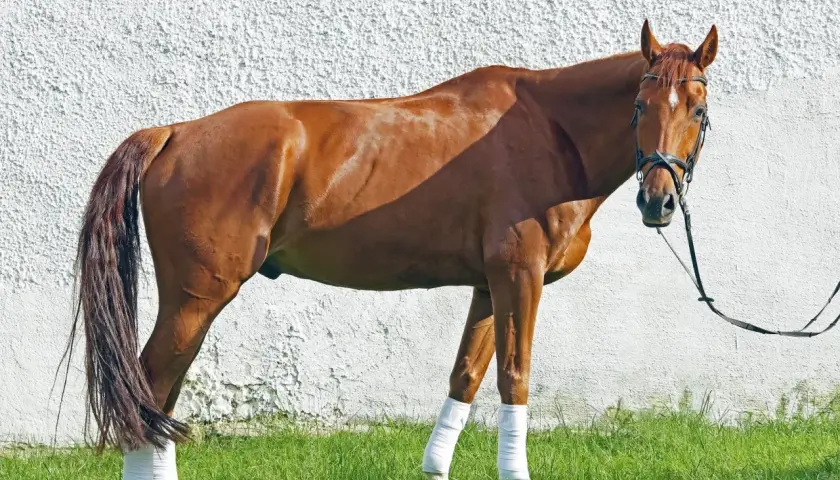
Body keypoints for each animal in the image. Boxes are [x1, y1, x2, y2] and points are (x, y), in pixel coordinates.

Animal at [62, 19, 717, 480]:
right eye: (640, 106)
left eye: (698, 109)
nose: (658, 201)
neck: (550, 132)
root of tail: (173, 132)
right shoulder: (520, 278)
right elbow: (514, 377)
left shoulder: (489, 285)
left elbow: (465, 376)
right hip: (196, 300)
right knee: (148, 394)